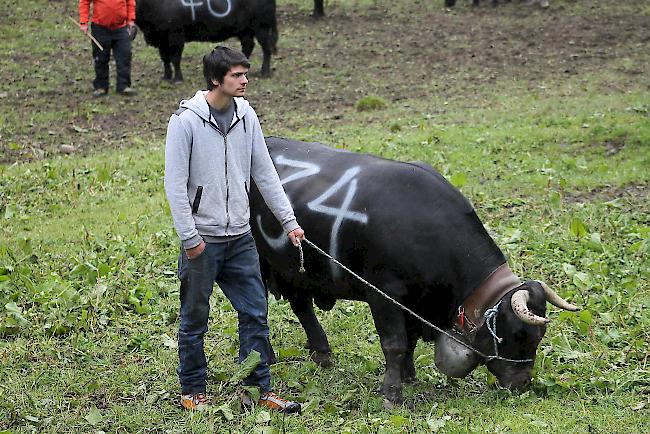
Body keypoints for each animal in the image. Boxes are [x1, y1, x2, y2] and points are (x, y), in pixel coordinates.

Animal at [135, 0, 278, 81]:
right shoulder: (162, 39)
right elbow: (165, 58)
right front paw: (166, 77)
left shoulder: (175, 34)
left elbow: (175, 58)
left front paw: (177, 78)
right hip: (245, 30)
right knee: (248, 46)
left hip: (261, 27)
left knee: (266, 48)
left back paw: (265, 72)